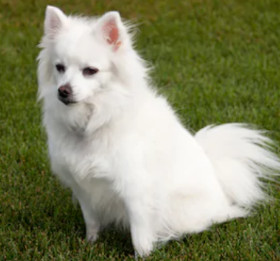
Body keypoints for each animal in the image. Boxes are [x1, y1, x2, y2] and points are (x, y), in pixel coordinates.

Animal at [37, 6, 280, 256]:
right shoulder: (84, 187)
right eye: (59, 68)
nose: (63, 90)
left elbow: (139, 233)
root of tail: (221, 189)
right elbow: (92, 221)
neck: (93, 121)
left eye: (90, 71)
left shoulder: (135, 190)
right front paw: (90, 243)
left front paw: (142, 255)